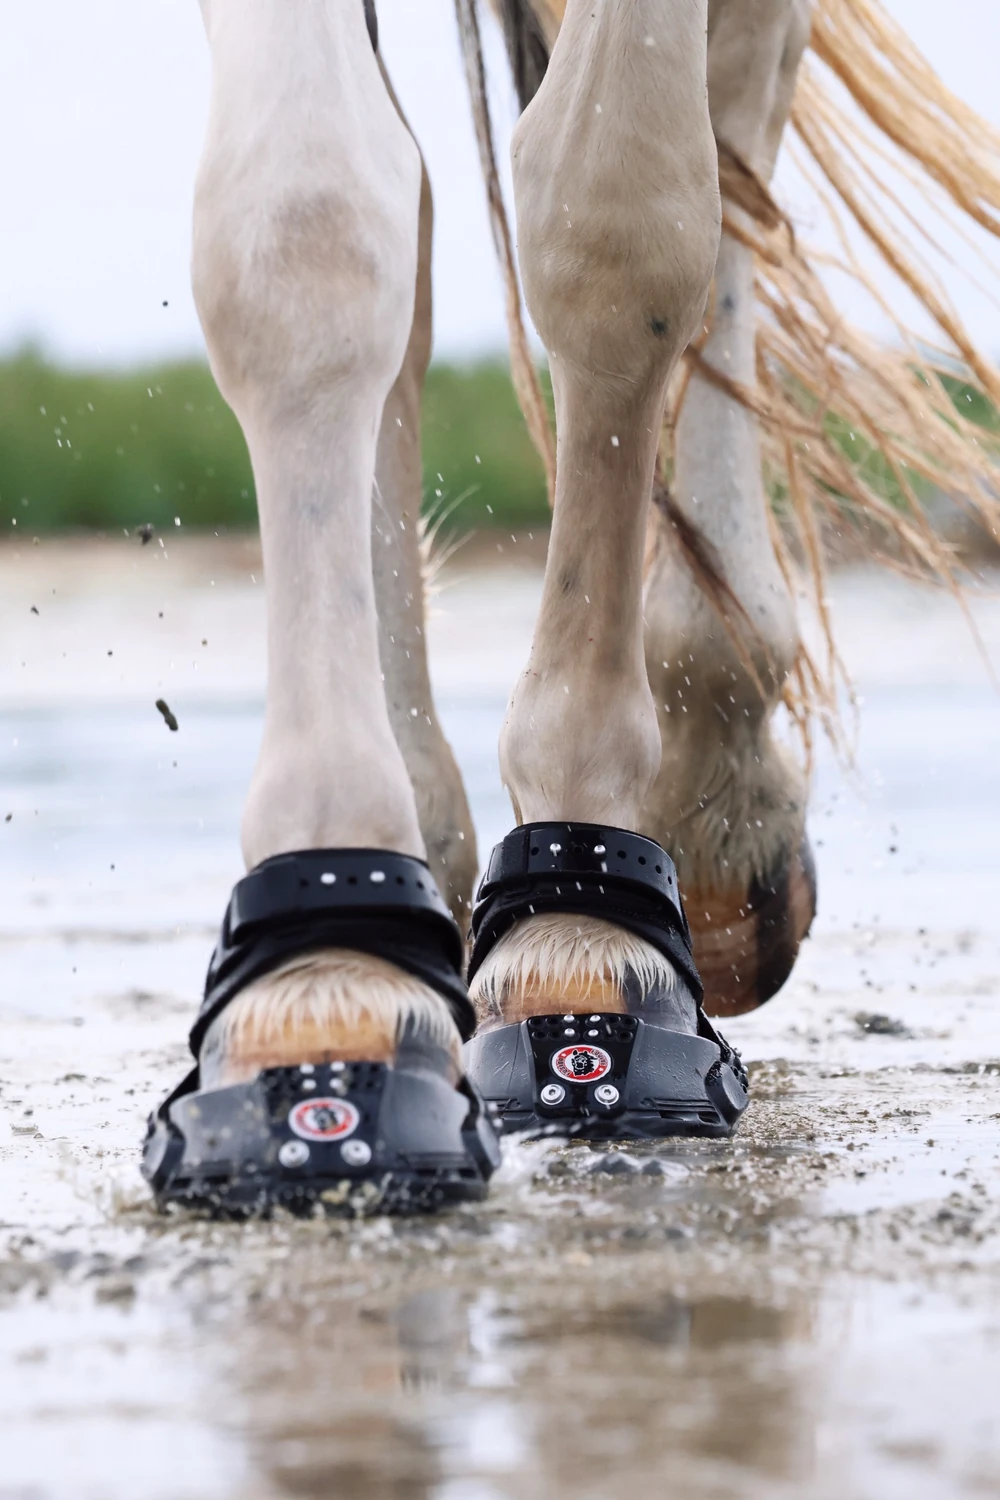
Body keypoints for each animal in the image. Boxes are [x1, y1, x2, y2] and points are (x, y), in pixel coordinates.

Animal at [141, 0, 1000, 1214]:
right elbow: (310, 226)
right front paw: (332, 965)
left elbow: (618, 214)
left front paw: (580, 906)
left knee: (740, 118)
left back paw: (715, 759)